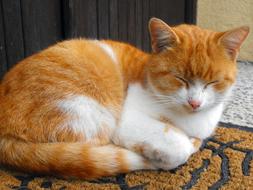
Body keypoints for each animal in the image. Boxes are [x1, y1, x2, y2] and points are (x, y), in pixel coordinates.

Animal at [0, 17, 249, 179]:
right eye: (180, 78)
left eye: (212, 82)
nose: (194, 102)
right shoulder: (128, 121)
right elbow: (179, 147)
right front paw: (167, 153)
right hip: (91, 114)